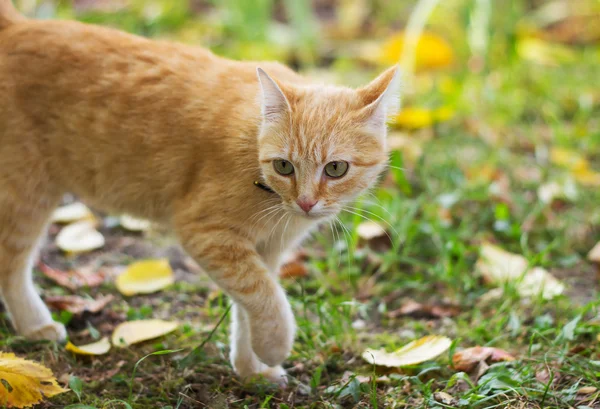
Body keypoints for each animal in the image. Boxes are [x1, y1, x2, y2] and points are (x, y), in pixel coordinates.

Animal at [0, 0, 398, 382]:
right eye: (284, 166)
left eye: (335, 168)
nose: (306, 202)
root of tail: (19, 26)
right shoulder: (207, 234)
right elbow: (265, 295)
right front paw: (273, 345)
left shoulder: (265, 250)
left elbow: (249, 304)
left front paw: (251, 368)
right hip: (25, 196)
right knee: (12, 265)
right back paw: (34, 325)